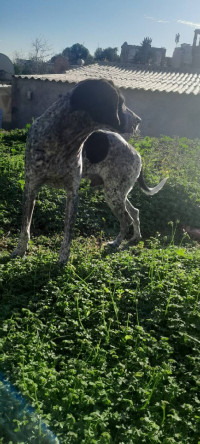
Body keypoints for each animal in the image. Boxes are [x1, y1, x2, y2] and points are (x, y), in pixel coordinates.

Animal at [12, 79, 141, 264]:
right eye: (120, 103)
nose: (139, 121)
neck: (62, 140)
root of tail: (137, 154)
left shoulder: (72, 193)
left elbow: (68, 233)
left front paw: (63, 259)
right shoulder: (30, 188)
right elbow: (25, 227)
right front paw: (20, 250)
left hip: (114, 194)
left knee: (126, 219)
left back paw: (117, 242)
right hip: (116, 193)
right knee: (133, 213)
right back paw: (134, 238)